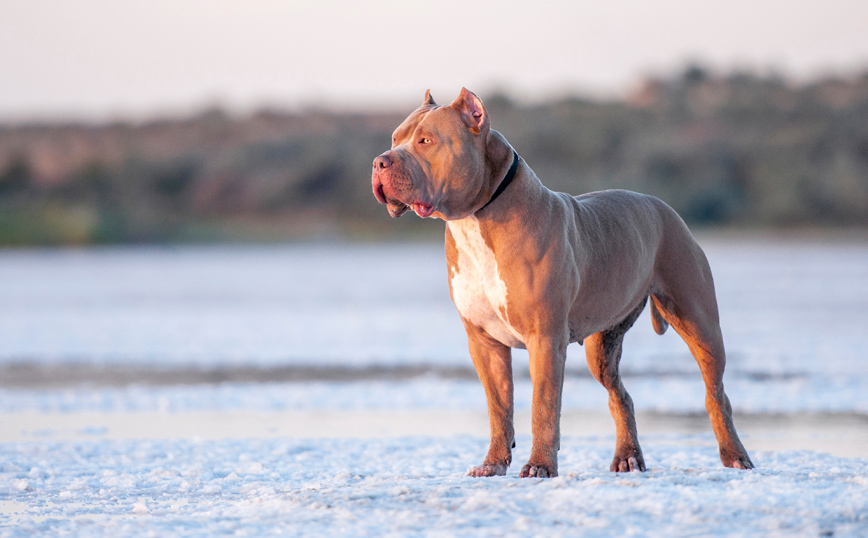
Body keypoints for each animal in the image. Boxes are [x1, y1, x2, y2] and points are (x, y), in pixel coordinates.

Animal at [372, 89, 752, 478]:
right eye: (395, 139)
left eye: (426, 141)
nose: (379, 162)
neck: (476, 218)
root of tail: (663, 207)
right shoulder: (484, 343)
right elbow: (499, 409)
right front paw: (493, 464)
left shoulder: (545, 339)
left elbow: (543, 407)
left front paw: (539, 466)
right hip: (603, 348)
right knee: (621, 396)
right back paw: (628, 456)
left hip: (699, 324)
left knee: (716, 394)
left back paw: (735, 456)